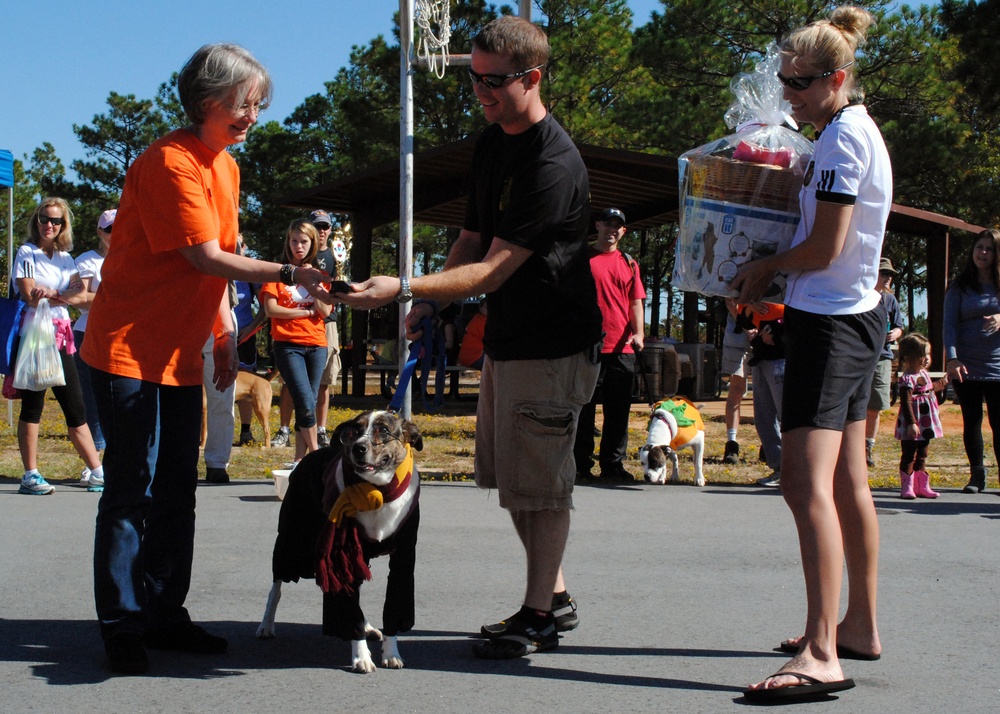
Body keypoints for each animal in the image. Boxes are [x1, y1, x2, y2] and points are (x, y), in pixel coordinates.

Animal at [258, 408, 422, 672]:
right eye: (355, 430)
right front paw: (362, 657)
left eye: (384, 430)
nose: (358, 447)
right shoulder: (342, 552)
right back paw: (266, 625)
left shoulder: (404, 556)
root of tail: (310, 455)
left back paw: (368, 627)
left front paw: (391, 652)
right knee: (276, 586)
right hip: (291, 540)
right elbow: (350, 607)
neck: (377, 491)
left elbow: (393, 604)